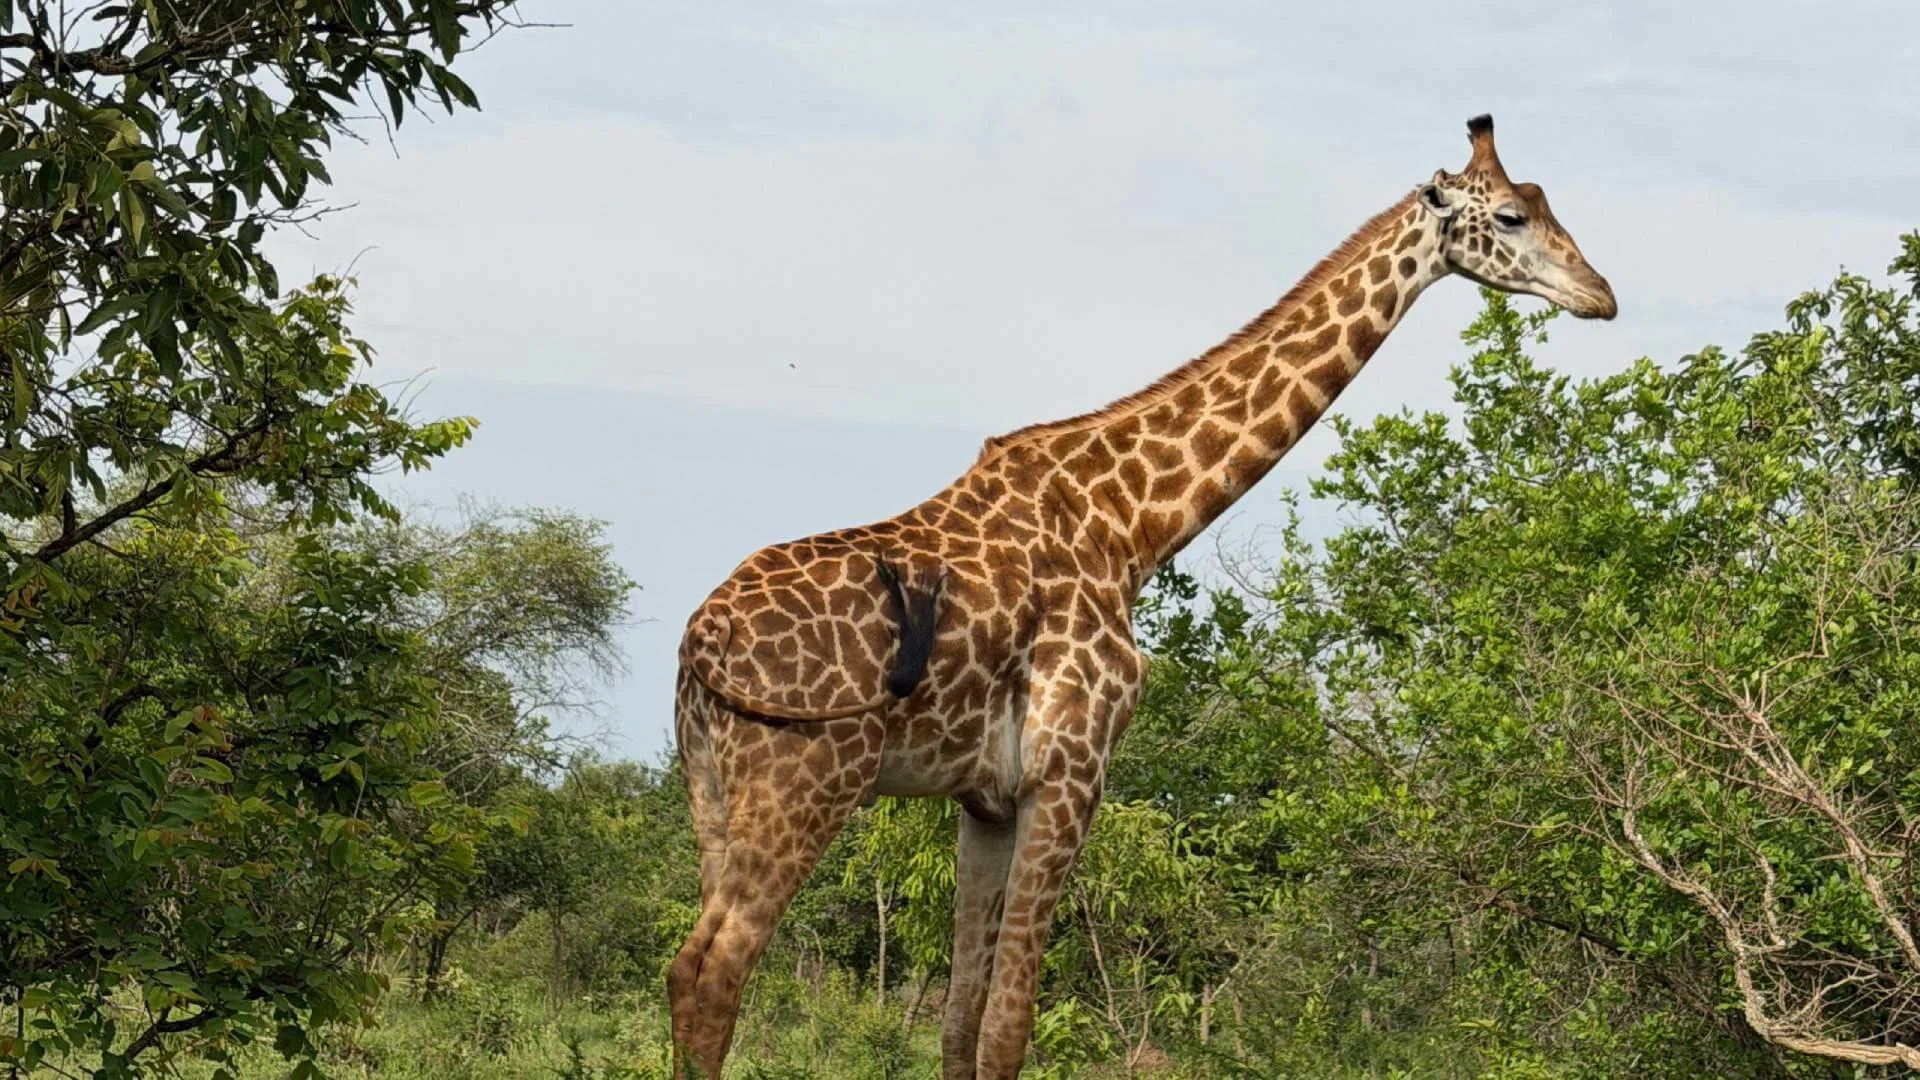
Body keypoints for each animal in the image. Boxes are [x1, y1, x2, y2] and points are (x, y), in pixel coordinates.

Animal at [667, 114, 1616, 1078]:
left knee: (684, 968)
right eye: (1510, 215)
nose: (1601, 294)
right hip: (807, 781)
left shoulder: (985, 801)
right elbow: (1008, 1026)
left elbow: (961, 1022)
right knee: (716, 971)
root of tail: (701, 640)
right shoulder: (1069, 772)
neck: (1130, 526)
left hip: (709, 785)